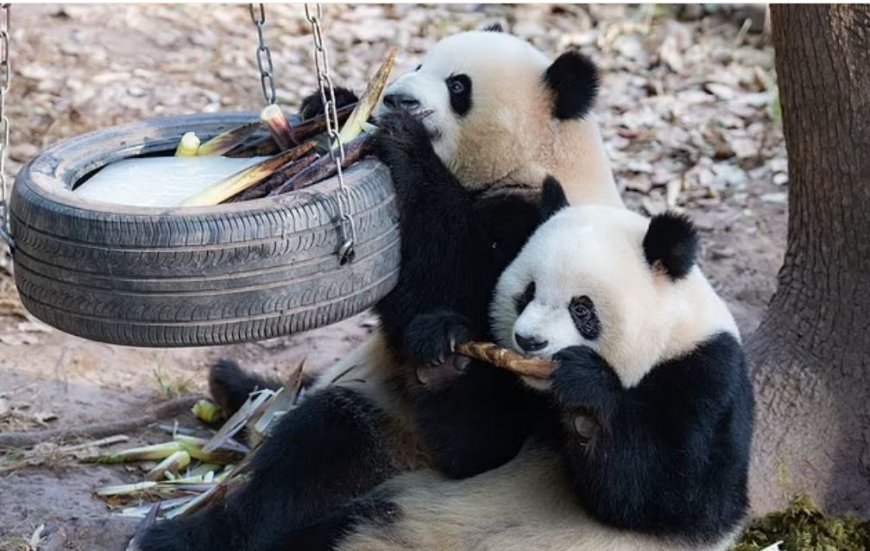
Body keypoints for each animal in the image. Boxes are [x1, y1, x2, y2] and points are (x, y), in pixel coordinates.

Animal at [140, 25, 624, 551]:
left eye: (458, 86)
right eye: (418, 65)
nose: (396, 99)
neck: (537, 157)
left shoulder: (538, 224)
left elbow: (462, 300)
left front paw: (403, 143)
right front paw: (334, 104)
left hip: (400, 444)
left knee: (319, 448)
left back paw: (186, 532)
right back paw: (239, 385)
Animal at [270, 182, 760, 551]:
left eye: (582, 309)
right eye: (527, 293)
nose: (529, 342)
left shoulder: (705, 376)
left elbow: (678, 498)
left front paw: (585, 391)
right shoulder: (520, 400)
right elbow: (477, 449)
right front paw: (442, 346)